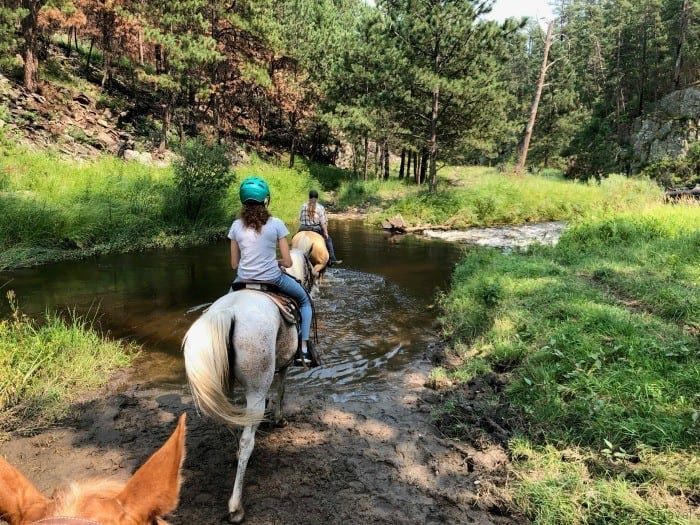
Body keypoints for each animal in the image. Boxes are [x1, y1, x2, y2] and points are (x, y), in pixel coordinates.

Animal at [183, 248, 314, 520]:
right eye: (309, 266)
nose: (314, 282)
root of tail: (228, 314)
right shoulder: (284, 365)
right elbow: (281, 390)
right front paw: (279, 419)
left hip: (224, 386)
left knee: (232, 421)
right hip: (256, 386)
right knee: (246, 441)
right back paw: (236, 506)